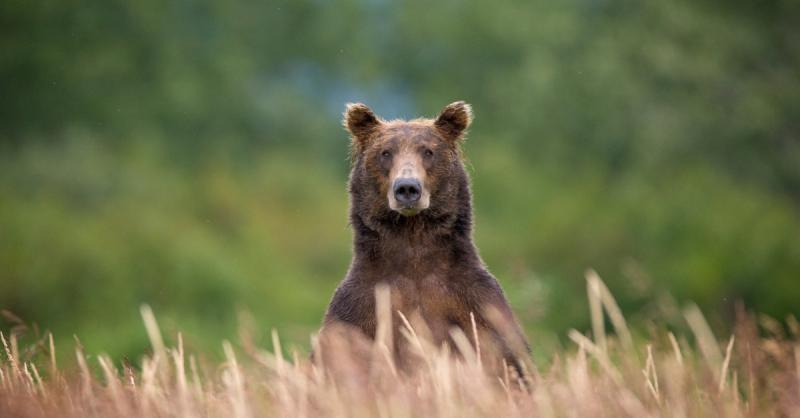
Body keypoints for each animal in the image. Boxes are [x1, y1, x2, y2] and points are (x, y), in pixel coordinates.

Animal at [318, 100, 532, 376]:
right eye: (385, 153)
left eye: (428, 151)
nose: (407, 188)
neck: (413, 240)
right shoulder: (359, 309)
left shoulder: (475, 304)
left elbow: (508, 360)